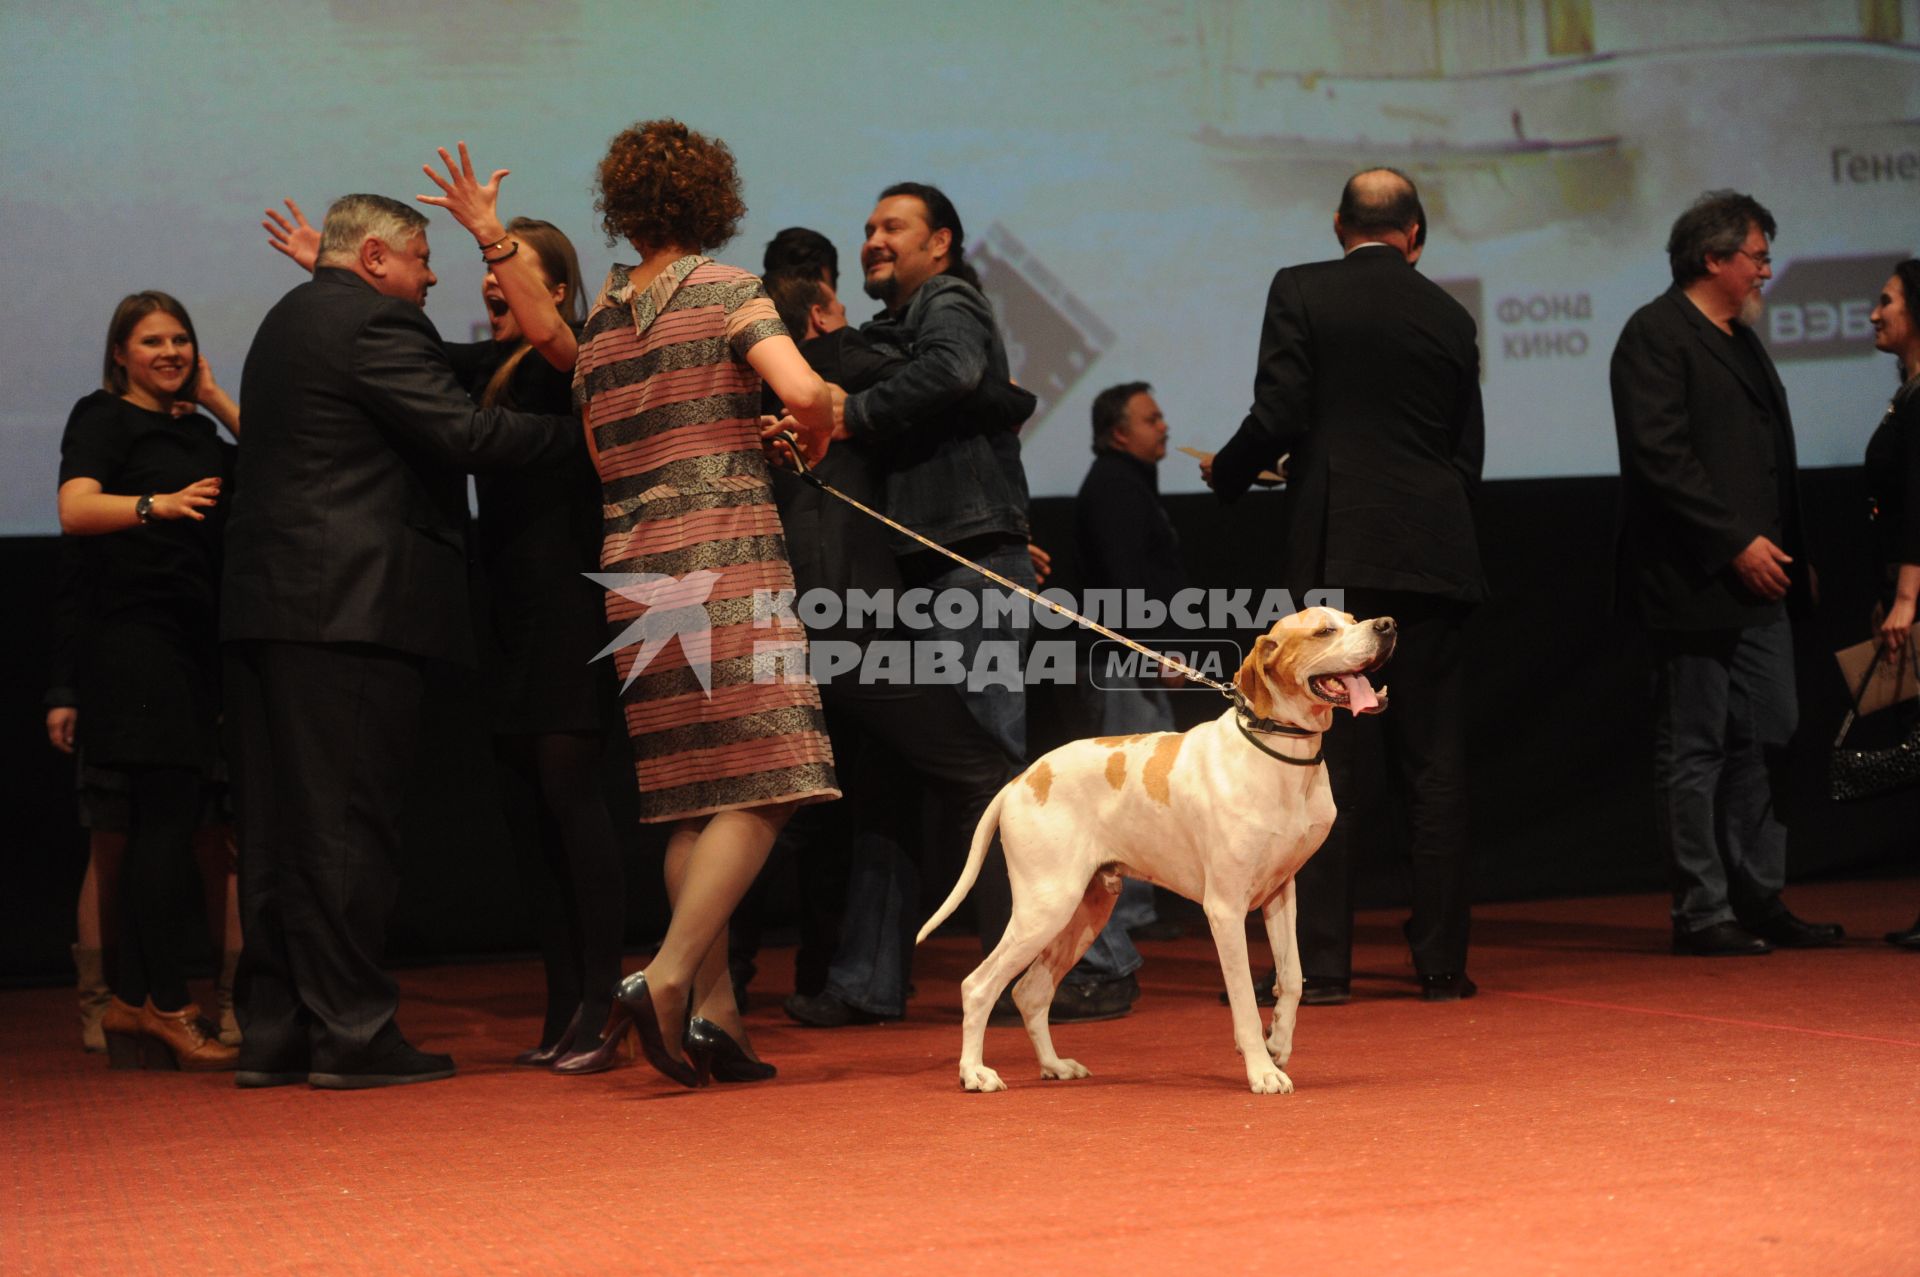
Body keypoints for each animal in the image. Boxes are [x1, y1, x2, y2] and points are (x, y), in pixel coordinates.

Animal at [917, 606, 1397, 1083]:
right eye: (1324, 631)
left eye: (1351, 617)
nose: (1387, 625)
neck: (1277, 753)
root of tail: (1021, 780)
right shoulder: (1225, 909)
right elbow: (1242, 997)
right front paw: (1261, 1071)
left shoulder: (1281, 892)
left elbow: (1293, 977)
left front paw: (1278, 1042)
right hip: (1045, 908)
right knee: (978, 986)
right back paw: (974, 1072)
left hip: (1083, 913)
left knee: (1030, 992)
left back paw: (1054, 1065)